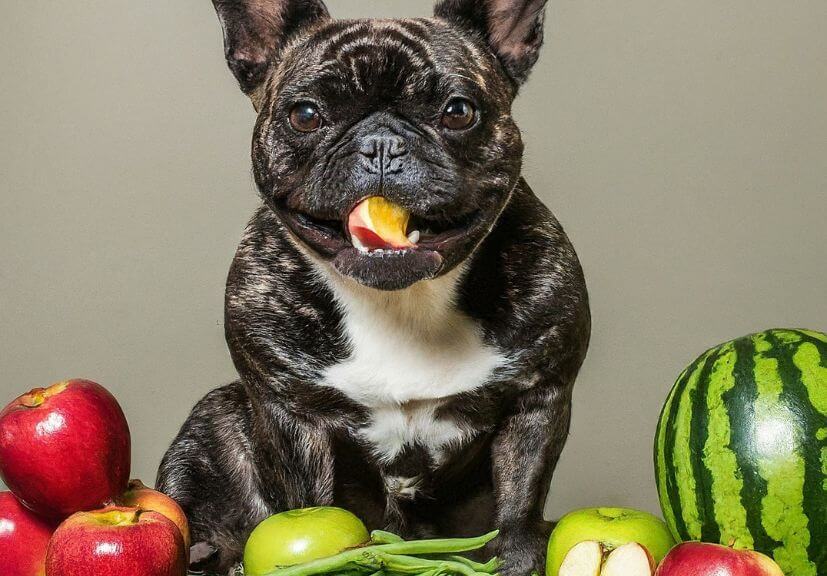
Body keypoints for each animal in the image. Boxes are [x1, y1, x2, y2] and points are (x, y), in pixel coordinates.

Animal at [158, 2, 592, 572]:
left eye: (458, 111)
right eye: (305, 115)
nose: (382, 144)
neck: (400, 301)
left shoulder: (538, 397)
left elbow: (521, 499)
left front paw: (519, 557)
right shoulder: (290, 415)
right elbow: (309, 499)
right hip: (215, 416)